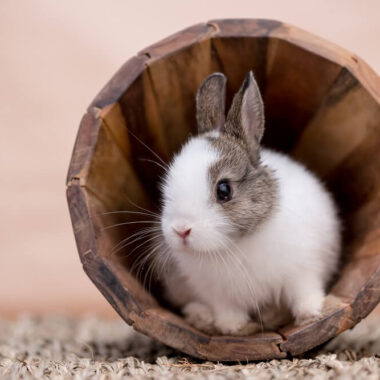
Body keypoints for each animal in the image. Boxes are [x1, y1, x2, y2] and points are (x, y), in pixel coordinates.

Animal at [156, 71, 340, 336]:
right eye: (167, 184)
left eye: (223, 190)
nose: (181, 230)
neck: (234, 245)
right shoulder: (218, 295)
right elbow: (227, 311)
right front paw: (231, 327)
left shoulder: (303, 270)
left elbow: (304, 292)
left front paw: (310, 313)